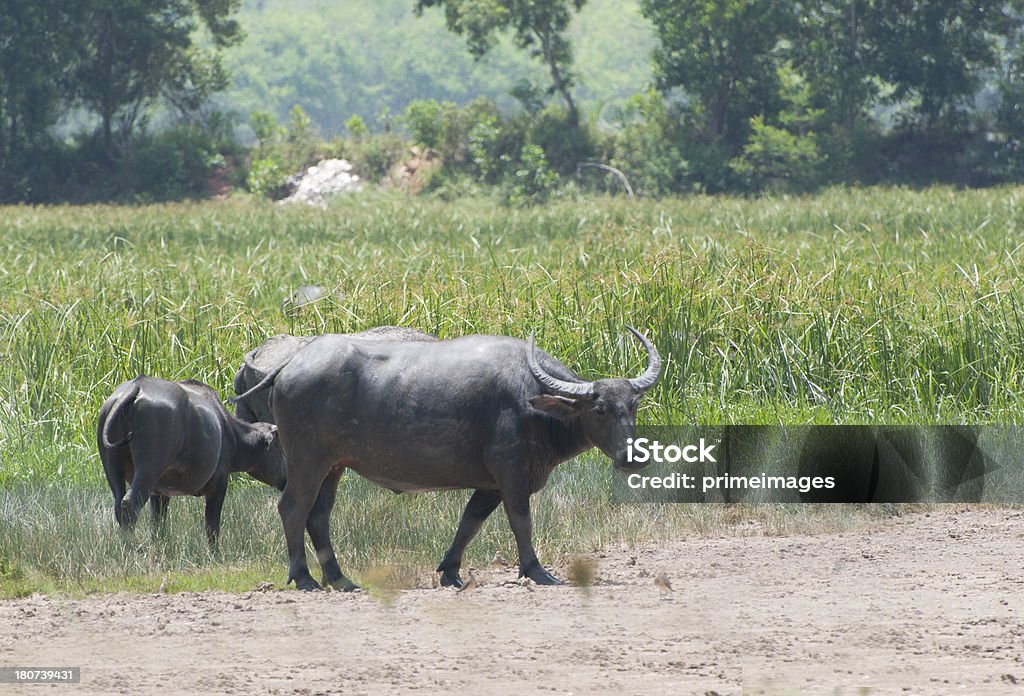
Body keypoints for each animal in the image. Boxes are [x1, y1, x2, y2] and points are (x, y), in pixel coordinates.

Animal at [97, 374, 286, 544]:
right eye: (281, 449)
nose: (286, 480)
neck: (228, 431)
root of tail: (136, 386)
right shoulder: (218, 485)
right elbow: (212, 528)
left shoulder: (159, 493)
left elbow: (158, 525)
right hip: (148, 469)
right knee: (130, 504)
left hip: (113, 468)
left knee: (119, 504)